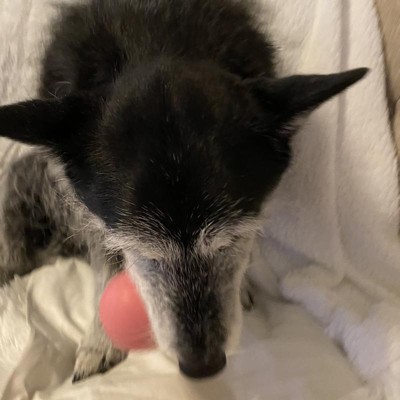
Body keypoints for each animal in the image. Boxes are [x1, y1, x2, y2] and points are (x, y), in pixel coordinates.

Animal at [0, 0, 367, 380]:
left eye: (231, 240)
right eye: (142, 251)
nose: (203, 366)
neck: (156, 40)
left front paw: (242, 284)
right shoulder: (86, 207)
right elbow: (104, 259)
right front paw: (101, 340)